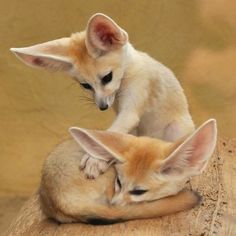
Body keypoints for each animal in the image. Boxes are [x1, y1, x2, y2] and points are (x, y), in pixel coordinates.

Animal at [11, 12, 195, 177]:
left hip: (176, 128)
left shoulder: (130, 110)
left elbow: (113, 132)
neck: (128, 73)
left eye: (107, 78)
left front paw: (95, 160)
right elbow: (113, 137)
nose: (102, 107)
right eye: (85, 85)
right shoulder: (123, 115)